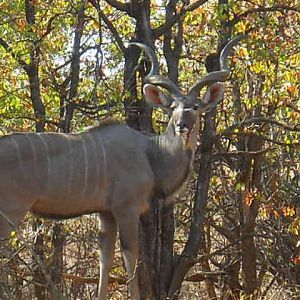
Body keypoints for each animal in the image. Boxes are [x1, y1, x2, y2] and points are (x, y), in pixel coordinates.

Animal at [0, 35, 244, 298]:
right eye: (172, 108)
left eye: (196, 107)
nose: (182, 125)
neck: (151, 154)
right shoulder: (127, 209)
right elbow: (130, 255)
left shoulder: (105, 213)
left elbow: (105, 259)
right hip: (11, 212)